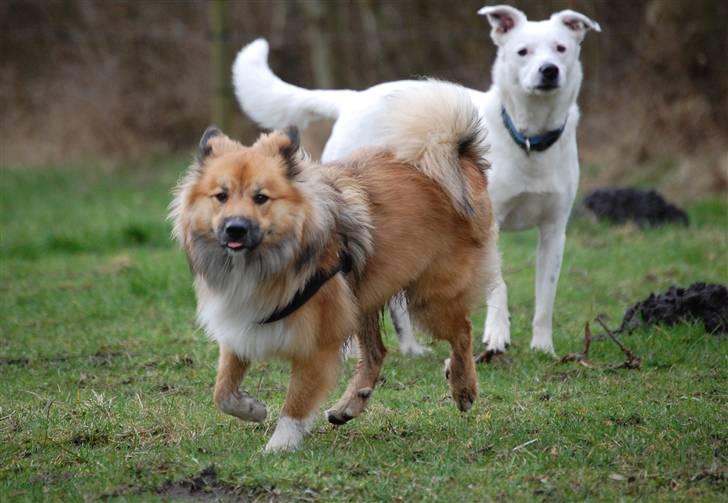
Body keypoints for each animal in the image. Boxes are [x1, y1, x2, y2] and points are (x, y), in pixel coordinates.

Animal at [171, 80, 500, 450]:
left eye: (261, 198)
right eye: (221, 196)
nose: (235, 228)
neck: (269, 261)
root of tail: (458, 155)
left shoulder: (318, 345)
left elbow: (296, 402)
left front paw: (279, 445)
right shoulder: (241, 324)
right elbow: (222, 392)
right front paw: (252, 409)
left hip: (430, 299)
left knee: (462, 332)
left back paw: (462, 387)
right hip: (363, 294)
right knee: (376, 353)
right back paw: (349, 406)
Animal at [235, 5, 604, 356]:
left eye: (561, 48)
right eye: (522, 51)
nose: (549, 70)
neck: (528, 139)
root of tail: (354, 97)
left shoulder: (554, 228)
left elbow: (546, 295)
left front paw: (543, 346)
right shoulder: (490, 222)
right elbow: (499, 284)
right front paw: (497, 336)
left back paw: (411, 348)